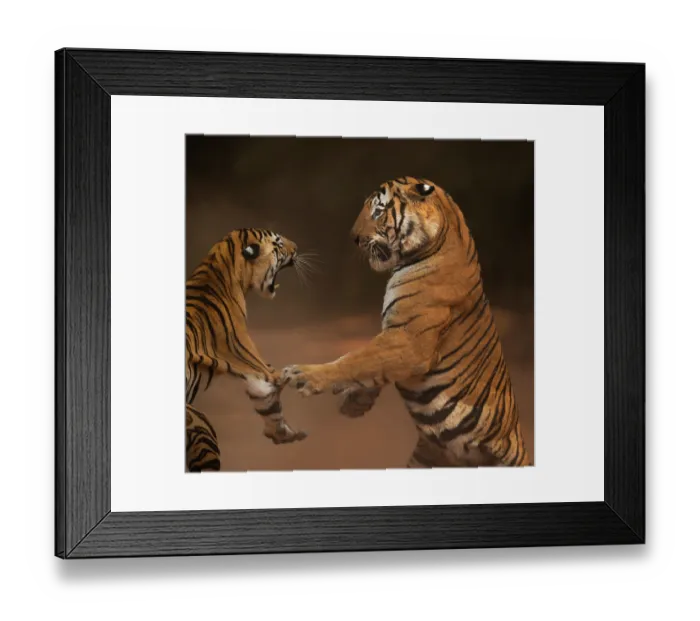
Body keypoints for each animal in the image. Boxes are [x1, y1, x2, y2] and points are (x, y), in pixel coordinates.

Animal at [185, 228, 307, 472]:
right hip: (203, 431)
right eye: (279, 243)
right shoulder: (258, 368)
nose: (297, 248)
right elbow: (272, 400)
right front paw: (284, 434)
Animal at [283, 177, 531, 468]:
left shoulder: (409, 341)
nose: (354, 238)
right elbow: (369, 363)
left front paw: (304, 375)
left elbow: (357, 358)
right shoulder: (396, 337)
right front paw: (355, 403)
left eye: (377, 212)